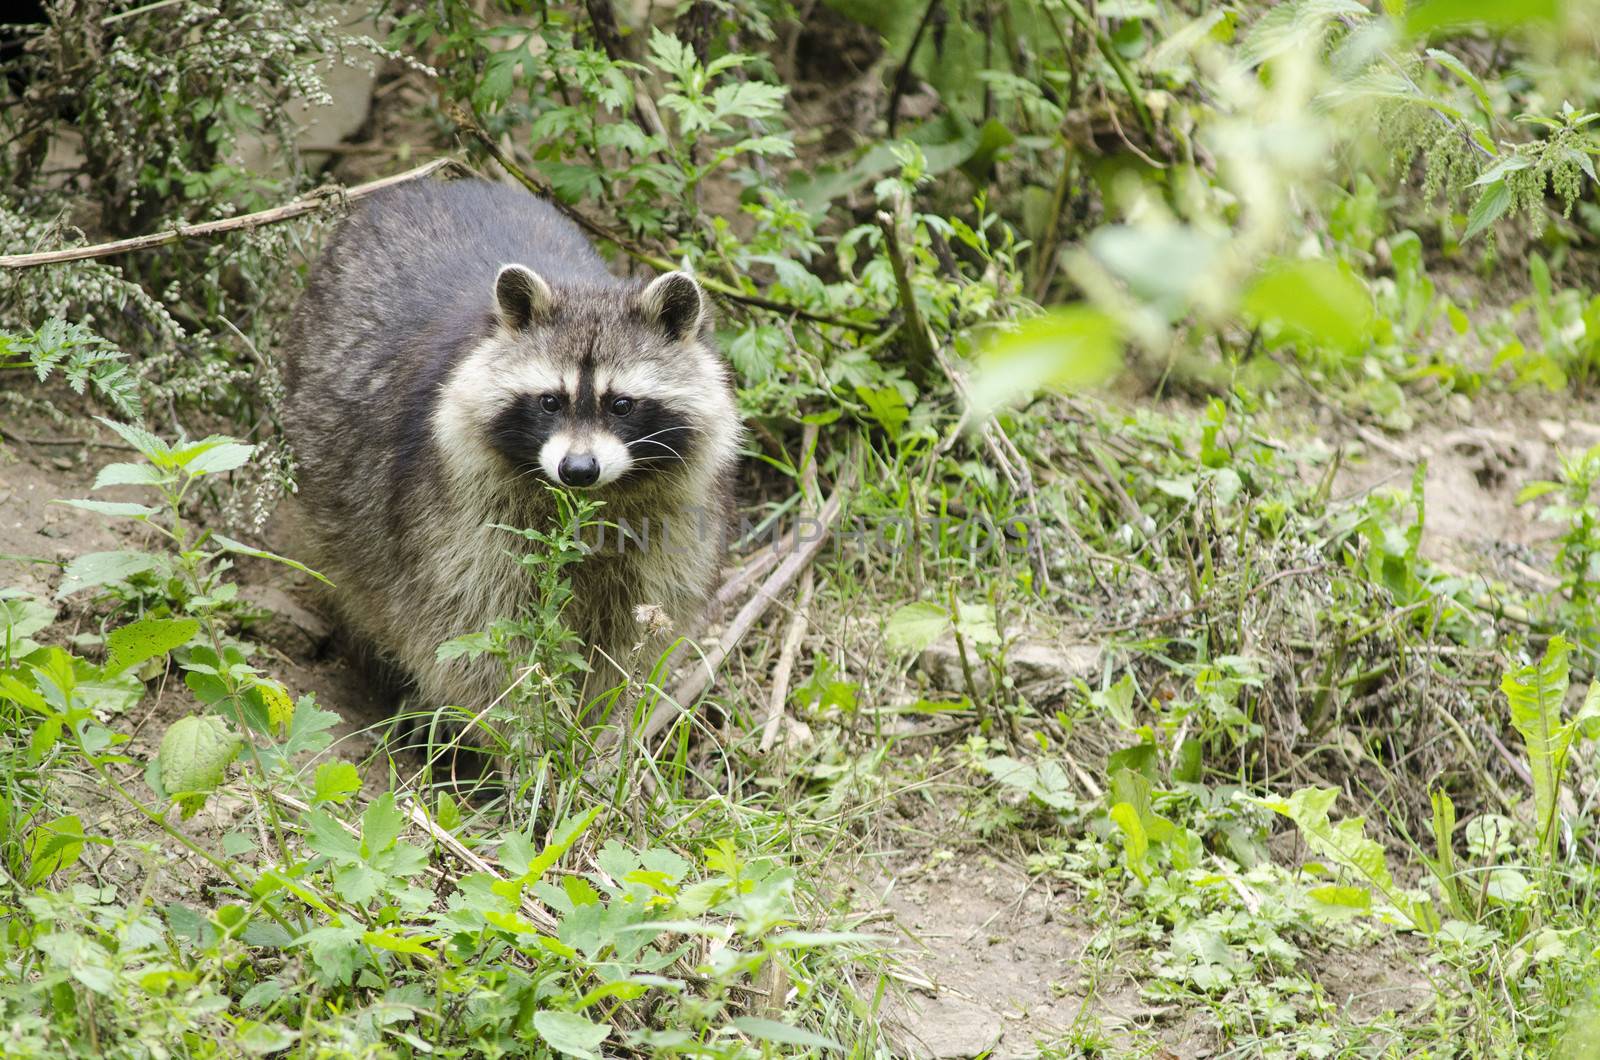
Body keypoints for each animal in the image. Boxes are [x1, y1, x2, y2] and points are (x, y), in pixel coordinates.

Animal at [280, 178, 736, 717]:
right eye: (550, 401)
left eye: (622, 404)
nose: (578, 469)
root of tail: (424, 186)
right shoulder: (454, 512)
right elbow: (472, 626)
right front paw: (526, 722)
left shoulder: (674, 517)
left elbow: (631, 632)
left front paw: (599, 721)